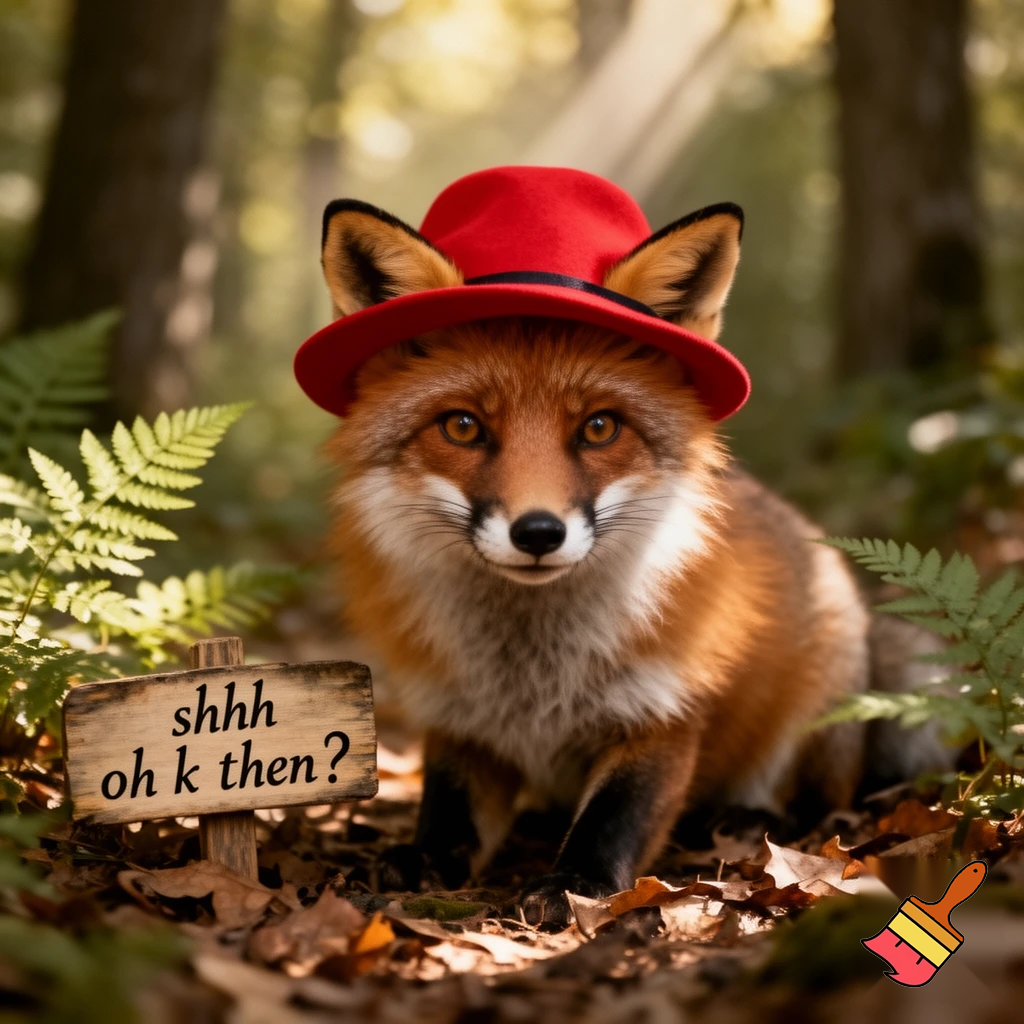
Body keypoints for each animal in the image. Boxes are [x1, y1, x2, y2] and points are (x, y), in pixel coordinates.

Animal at [309, 175, 949, 928]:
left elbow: (614, 820)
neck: (530, 676)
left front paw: (575, 885)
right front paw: (419, 861)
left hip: (818, 709)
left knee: (818, 804)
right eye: (463, 426)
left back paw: (741, 819)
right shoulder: (464, 723)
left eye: (599, 428)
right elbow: (449, 816)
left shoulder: (664, 711)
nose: (538, 533)